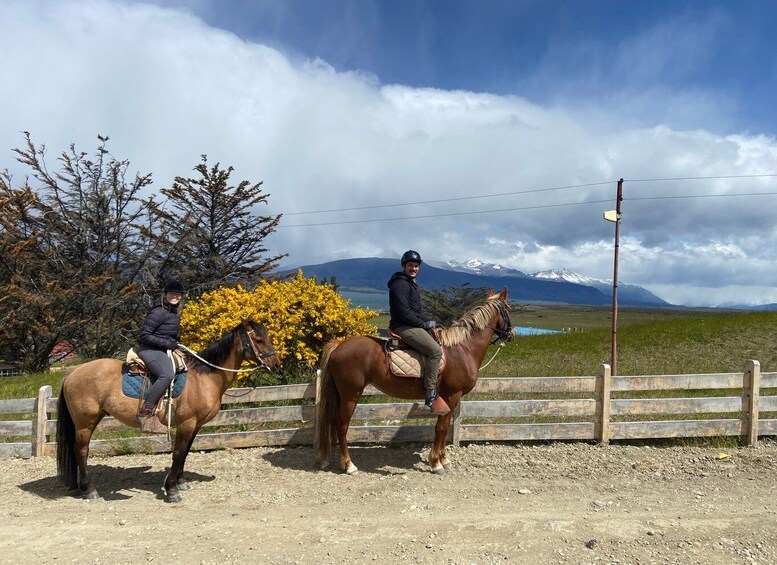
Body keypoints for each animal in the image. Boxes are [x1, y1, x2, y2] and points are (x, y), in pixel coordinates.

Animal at [58, 320, 282, 500]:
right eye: (259, 340)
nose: (276, 365)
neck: (204, 378)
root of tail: (72, 373)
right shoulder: (186, 423)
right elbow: (178, 452)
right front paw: (172, 489)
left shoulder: (196, 425)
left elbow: (185, 452)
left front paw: (181, 482)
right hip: (85, 423)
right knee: (82, 450)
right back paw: (89, 490)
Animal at [312, 284, 512, 474]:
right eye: (508, 309)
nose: (511, 334)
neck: (462, 349)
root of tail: (338, 346)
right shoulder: (452, 395)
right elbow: (441, 428)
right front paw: (436, 463)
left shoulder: (451, 398)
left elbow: (445, 427)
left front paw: (444, 460)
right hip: (351, 395)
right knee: (341, 425)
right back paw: (349, 465)